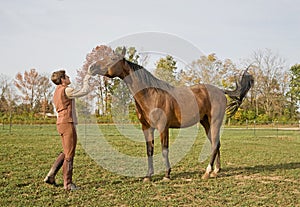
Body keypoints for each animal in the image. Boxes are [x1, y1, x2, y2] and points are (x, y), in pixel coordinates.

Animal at [88, 45, 253, 181]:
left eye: (112, 59)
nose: (91, 67)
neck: (151, 95)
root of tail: (220, 91)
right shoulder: (146, 128)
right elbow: (149, 150)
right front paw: (148, 176)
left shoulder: (163, 128)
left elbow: (164, 150)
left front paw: (167, 175)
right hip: (206, 123)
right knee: (216, 143)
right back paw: (215, 171)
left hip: (215, 122)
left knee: (214, 144)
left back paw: (207, 172)